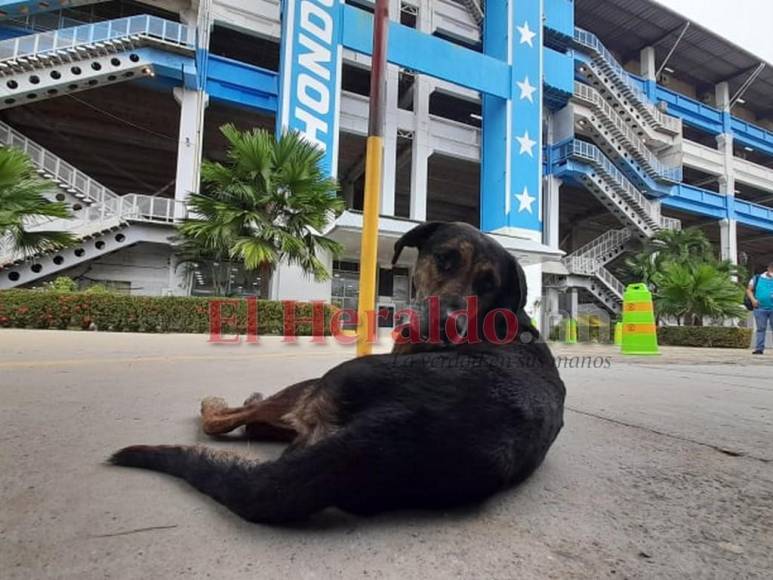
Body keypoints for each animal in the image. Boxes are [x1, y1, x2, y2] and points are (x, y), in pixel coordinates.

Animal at [108, 220, 564, 524]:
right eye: (445, 259)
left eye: (487, 283)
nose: (448, 323)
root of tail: (382, 440)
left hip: (329, 380)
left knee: (228, 421)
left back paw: (224, 405)